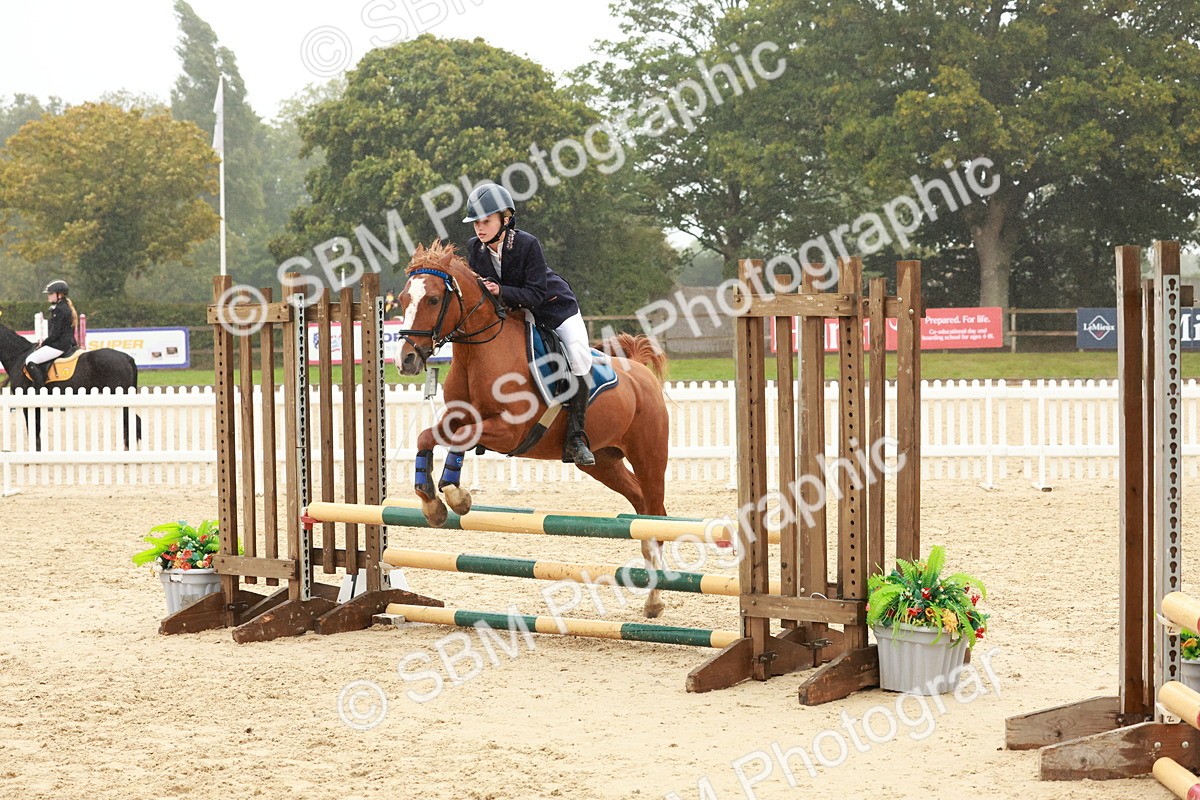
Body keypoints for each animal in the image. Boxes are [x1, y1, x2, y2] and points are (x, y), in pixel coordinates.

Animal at [394, 241, 672, 618]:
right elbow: (428, 436)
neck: (480, 352)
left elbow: (461, 441)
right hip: (605, 462)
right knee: (641, 507)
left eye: (434, 300)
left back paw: (655, 600)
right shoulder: (457, 418)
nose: (406, 360)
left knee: (657, 515)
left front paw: (456, 496)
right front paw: (431, 503)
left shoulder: (509, 432)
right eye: (403, 299)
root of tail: (639, 372)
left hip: (649, 457)